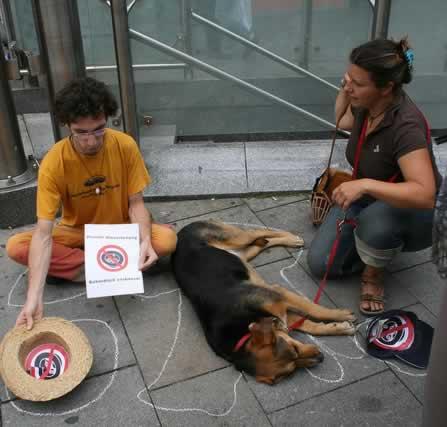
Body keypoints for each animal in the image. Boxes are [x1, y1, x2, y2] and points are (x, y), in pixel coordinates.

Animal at [172, 221, 356, 384]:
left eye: (294, 349)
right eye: (290, 372)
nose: (321, 357)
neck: (241, 331)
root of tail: (179, 233)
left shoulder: (278, 294)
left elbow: (314, 309)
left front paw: (341, 315)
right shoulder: (280, 313)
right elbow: (309, 325)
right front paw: (339, 327)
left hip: (237, 237)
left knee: (258, 231)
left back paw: (292, 238)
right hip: (243, 253)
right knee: (262, 243)